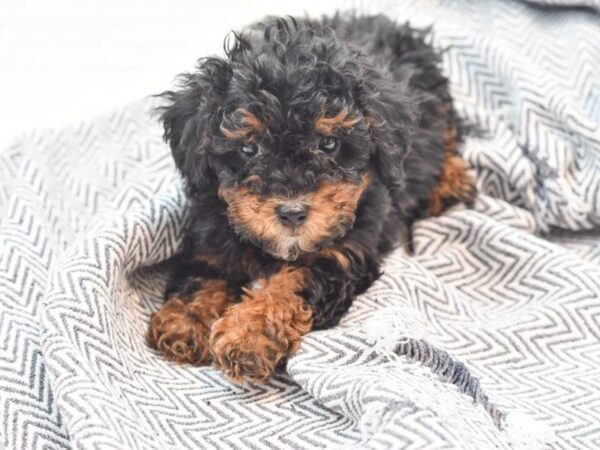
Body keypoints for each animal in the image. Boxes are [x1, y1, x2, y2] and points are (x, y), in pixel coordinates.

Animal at [146, 14, 478, 382]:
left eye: (328, 144)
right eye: (250, 148)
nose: (292, 212)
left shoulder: (343, 255)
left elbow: (293, 284)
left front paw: (249, 333)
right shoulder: (213, 235)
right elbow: (204, 273)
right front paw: (187, 320)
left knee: (448, 134)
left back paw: (451, 182)